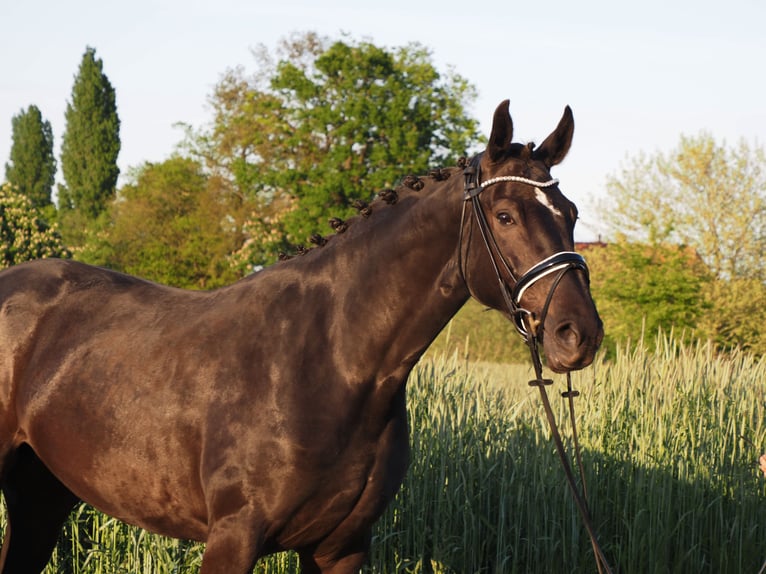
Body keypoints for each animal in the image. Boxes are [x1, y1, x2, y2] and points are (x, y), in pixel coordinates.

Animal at [0, 101, 604, 572]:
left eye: (571, 213)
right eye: (504, 216)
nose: (579, 334)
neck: (331, 362)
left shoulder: (341, 548)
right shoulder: (233, 539)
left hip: (40, 499)